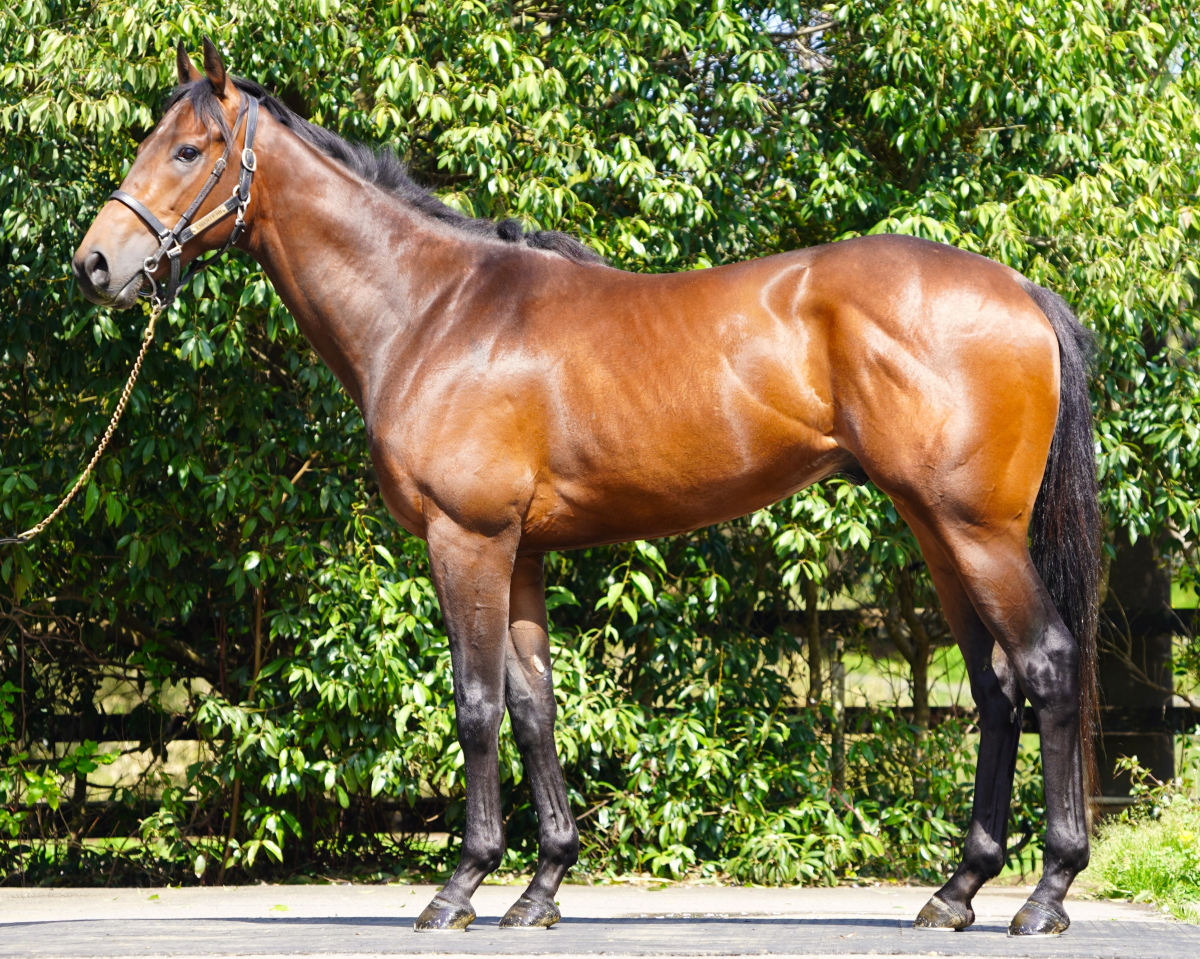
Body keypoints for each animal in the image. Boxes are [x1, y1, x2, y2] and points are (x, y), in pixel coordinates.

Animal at [74, 39, 1100, 937]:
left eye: (189, 149)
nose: (96, 264)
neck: (435, 310)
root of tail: (1022, 292)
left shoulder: (468, 539)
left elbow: (476, 704)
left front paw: (460, 888)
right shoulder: (520, 552)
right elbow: (535, 708)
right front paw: (541, 887)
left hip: (977, 531)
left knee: (1046, 663)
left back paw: (1046, 892)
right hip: (935, 529)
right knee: (995, 685)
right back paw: (957, 891)